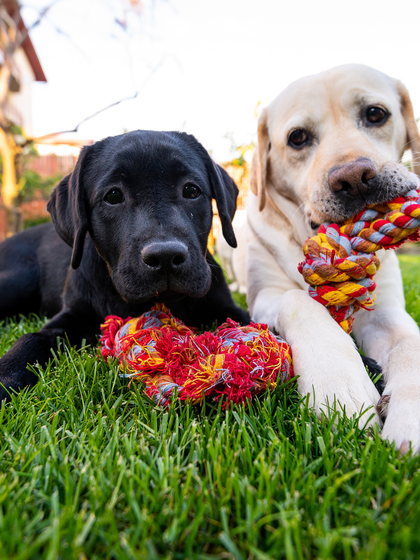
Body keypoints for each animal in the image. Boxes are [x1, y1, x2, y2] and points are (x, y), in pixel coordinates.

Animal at [0, 129, 249, 400]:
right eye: (113, 196)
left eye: (191, 191)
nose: (165, 256)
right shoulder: (73, 313)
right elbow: (32, 337)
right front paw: (6, 374)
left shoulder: (226, 306)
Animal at [246, 63, 420, 452]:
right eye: (298, 138)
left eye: (375, 114)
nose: (354, 179)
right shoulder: (263, 296)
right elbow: (298, 300)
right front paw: (340, 388)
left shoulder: (385, 312)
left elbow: (410, 344)